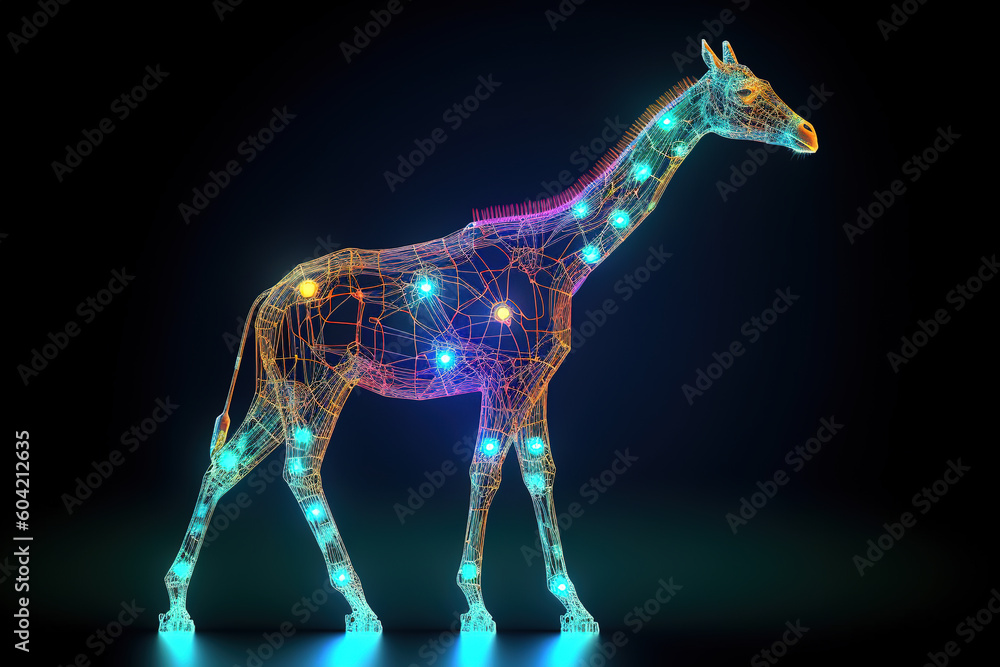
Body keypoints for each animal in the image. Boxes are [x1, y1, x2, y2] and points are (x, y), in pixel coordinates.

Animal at [158, 40, 817, 635]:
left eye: (765, 80)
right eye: (745, 91)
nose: (809, 135)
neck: (563, 259)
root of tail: (266, 300)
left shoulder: (536, 379)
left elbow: (539, 471)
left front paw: (575, 608)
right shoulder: (506, 376)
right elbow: (486, 471)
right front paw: (475, 606)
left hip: (280, 385)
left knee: (227, 461)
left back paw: (178, 605)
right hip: (315, 381)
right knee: (299, 467)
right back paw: (361, 607)